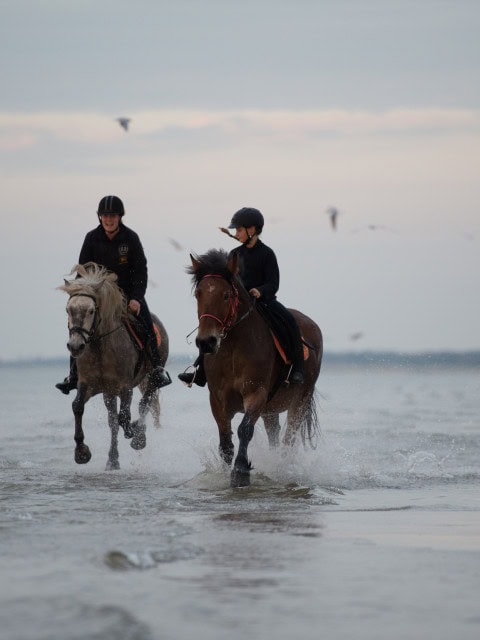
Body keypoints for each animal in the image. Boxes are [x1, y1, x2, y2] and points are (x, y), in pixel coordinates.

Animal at [58, 262, 169, 470]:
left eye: (91, 310)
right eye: (68, 310)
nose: (75, 346)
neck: (101, 348)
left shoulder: (125, 387)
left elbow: (124, 417)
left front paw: (135, 432)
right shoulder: (87, 385)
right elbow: (78, 407)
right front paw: (81, 452)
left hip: (150, 377)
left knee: (145, 402)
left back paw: (139, 437)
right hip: (109, 393)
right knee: (114, 422)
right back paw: (113, 460)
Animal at [188, 249, 322, 484]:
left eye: (226, 295)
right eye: (198, 294)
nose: (206, 342)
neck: (232, 349)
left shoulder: (256, 394)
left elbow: (245, 429)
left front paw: (240, 471)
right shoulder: (218, 399)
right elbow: (225, 442)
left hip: (299, 402)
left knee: (288, 439)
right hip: (271, 410)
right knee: (275, 435)